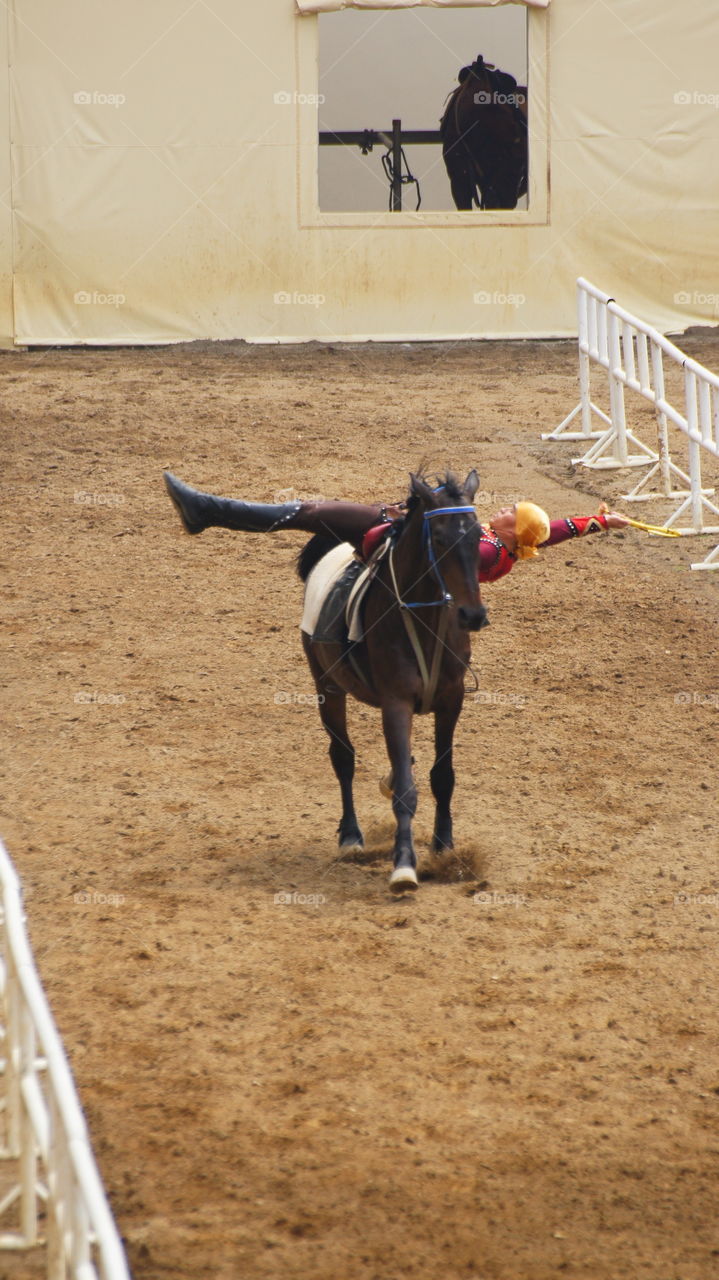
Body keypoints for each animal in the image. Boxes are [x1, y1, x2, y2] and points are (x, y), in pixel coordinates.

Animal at [298, 470, 488, 894]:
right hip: (326, 685)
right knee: (342, 757)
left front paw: (444, 846)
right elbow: (404, 789)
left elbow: (442, 777)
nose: (472, 615)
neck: (424, 619)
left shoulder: (452, 700)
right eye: (439, 539)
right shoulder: (396, 704)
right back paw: (351, 836)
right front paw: (403, 865)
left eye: (477, 537)